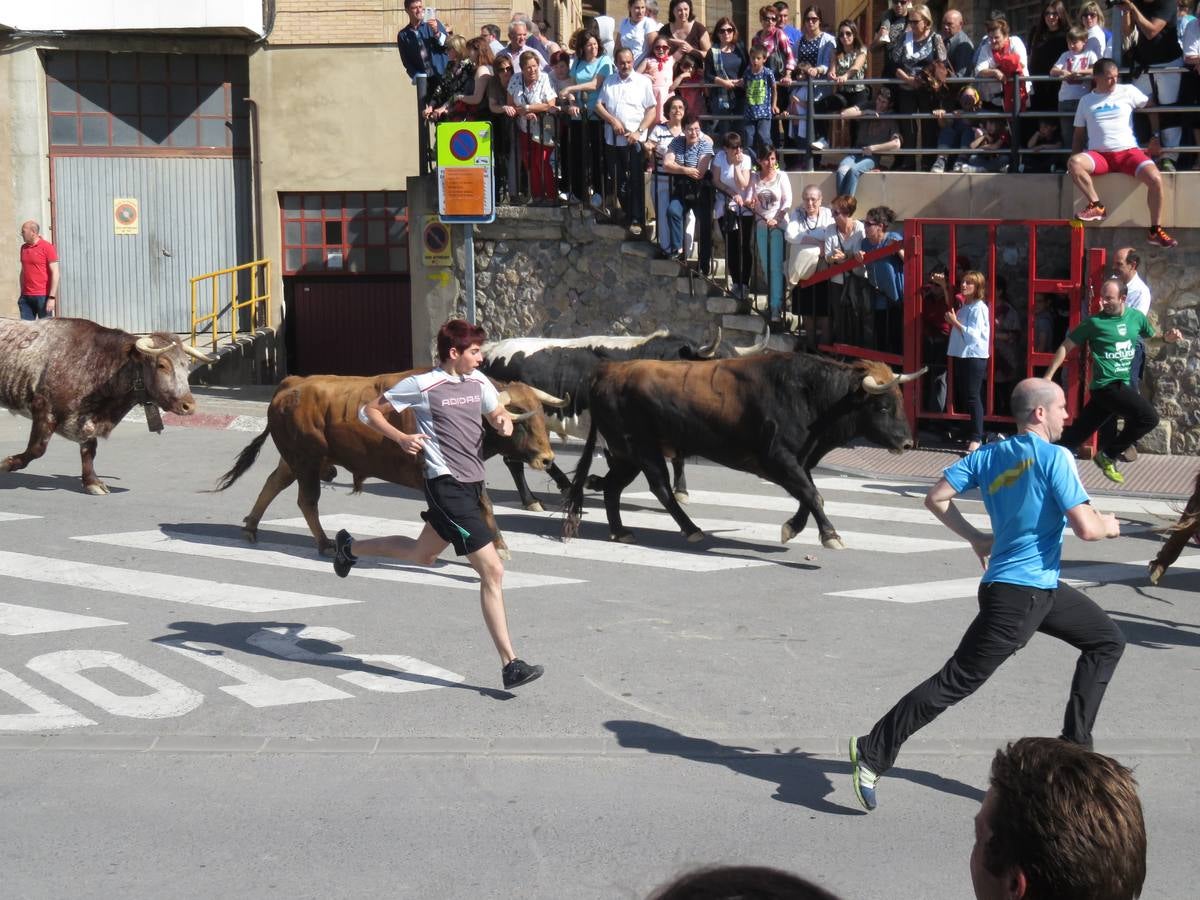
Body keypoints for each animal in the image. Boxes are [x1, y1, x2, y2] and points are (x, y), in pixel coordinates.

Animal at [212, 372, 561, 556]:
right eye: (521, 423)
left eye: (542, 419)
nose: (548, 459)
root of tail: (292, 383)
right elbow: (479, 506)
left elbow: (484, 505)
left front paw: (498, 545)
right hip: (306, 461)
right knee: (306, 500)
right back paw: (324, 543)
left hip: (296, 460)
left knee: (273, 483)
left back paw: (251, 528)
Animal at [564, 352, 926, 549]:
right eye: (882, 406)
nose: (907, 443)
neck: (812, 396)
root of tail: (607, 372)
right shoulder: (779, 460)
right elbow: (813, 494)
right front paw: (830, 535)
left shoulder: (800, 462)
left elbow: (810, 495)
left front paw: (792, 528)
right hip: (642, 450)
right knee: (660, 488)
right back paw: (691, 530)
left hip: (628, 455)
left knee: (612, 487)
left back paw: (620, 531)